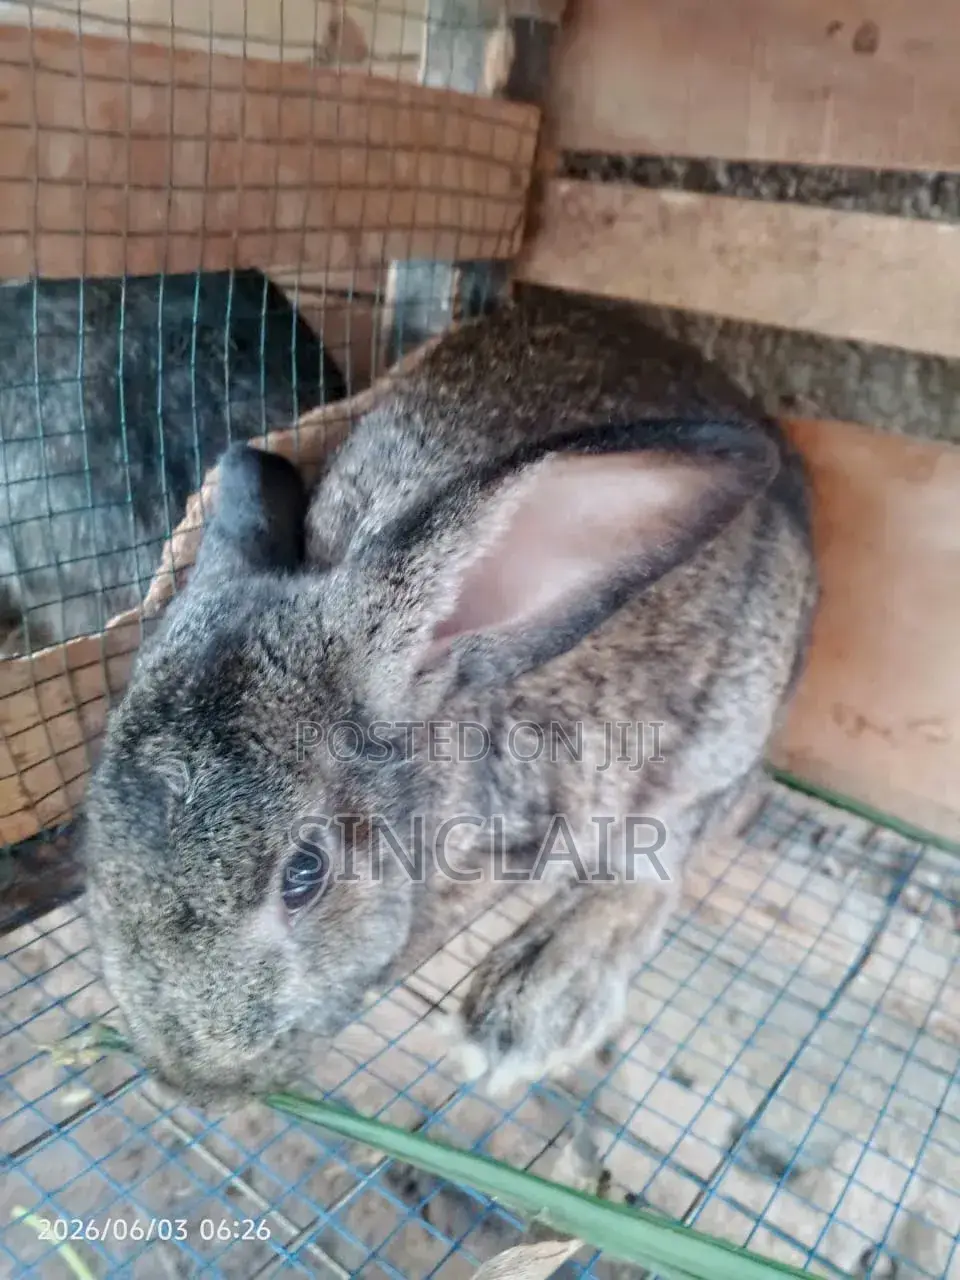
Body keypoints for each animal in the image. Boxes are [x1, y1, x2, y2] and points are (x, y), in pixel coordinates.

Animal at [80, 287, 818, 1106]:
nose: (195, 1082)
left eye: (304, 875)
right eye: (95, 838)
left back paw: (531, 1003)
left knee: (686, 835)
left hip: (726, 722)